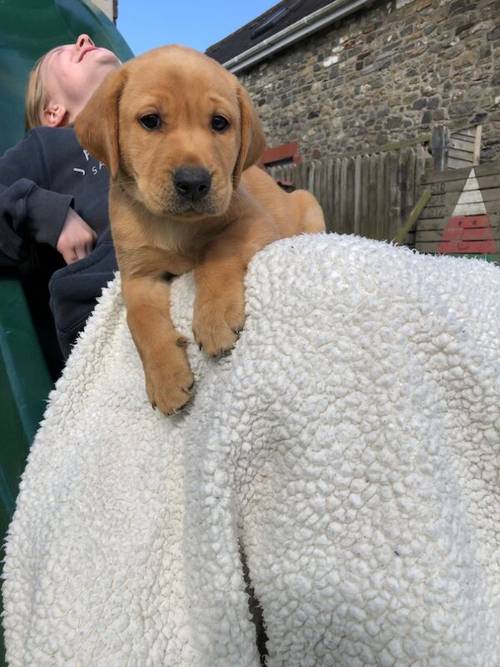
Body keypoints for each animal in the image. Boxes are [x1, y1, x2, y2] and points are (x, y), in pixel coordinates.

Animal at [74, 45, 324, 412]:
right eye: (150, 121)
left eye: (219, 123)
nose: (193, 182)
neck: (174, 226)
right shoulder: (137, 275)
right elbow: (140, 320)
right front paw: (166, 378)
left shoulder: (252, 222)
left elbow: (215, 253)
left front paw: (215, 317)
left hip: (308, 202)